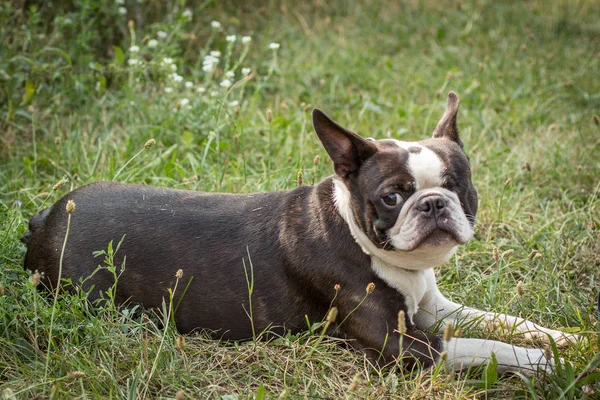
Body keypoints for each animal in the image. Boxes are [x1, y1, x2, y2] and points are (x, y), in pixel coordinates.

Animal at [22, 94, 576, 376]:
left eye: (457, 185)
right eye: (392, 197)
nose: (434, 203)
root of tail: (46, 217)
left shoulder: (433, 308)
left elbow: (501, 321)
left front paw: (564, 337)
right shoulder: (402, 344)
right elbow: (488, 345)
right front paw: (543, 361)